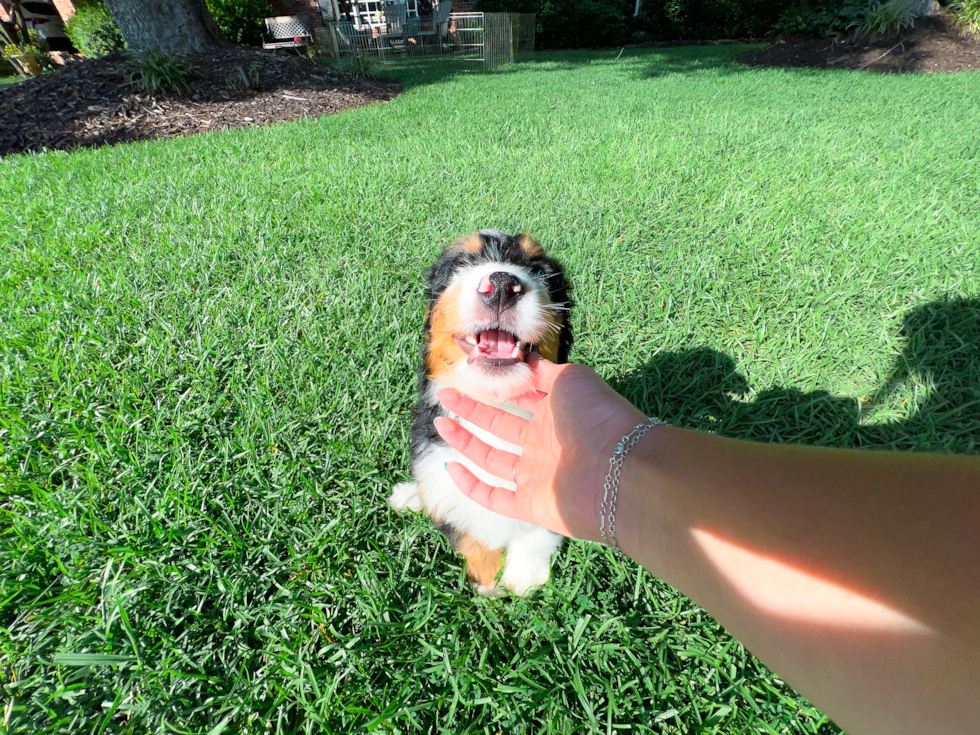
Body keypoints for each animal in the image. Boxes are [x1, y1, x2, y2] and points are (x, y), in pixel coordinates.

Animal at [390, 230, 576, 600]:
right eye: (461, 264)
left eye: (539, 269)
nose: (503, 284)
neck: (496, 403)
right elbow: (470, 536)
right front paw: (490, 584)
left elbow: (538, 532)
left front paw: (524, 580)